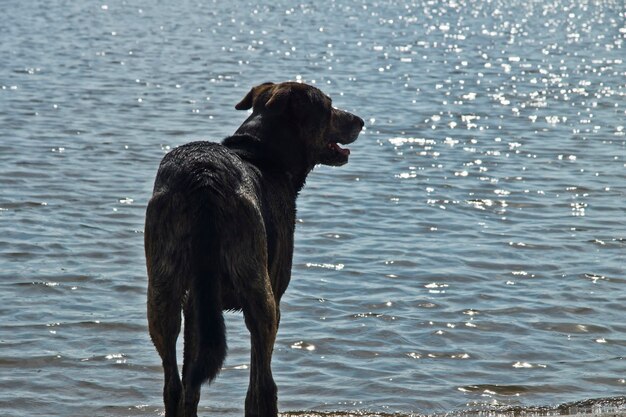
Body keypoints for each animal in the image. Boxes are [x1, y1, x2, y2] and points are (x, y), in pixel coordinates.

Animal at [144, 79, 364, 414]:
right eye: (328, 106)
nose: (360, 121)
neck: (261, 151)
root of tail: (204, 177)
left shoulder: (195, 304)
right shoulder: (274, 290)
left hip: (162, 284)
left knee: (176, 385)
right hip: (260, 290)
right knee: (262, 386)